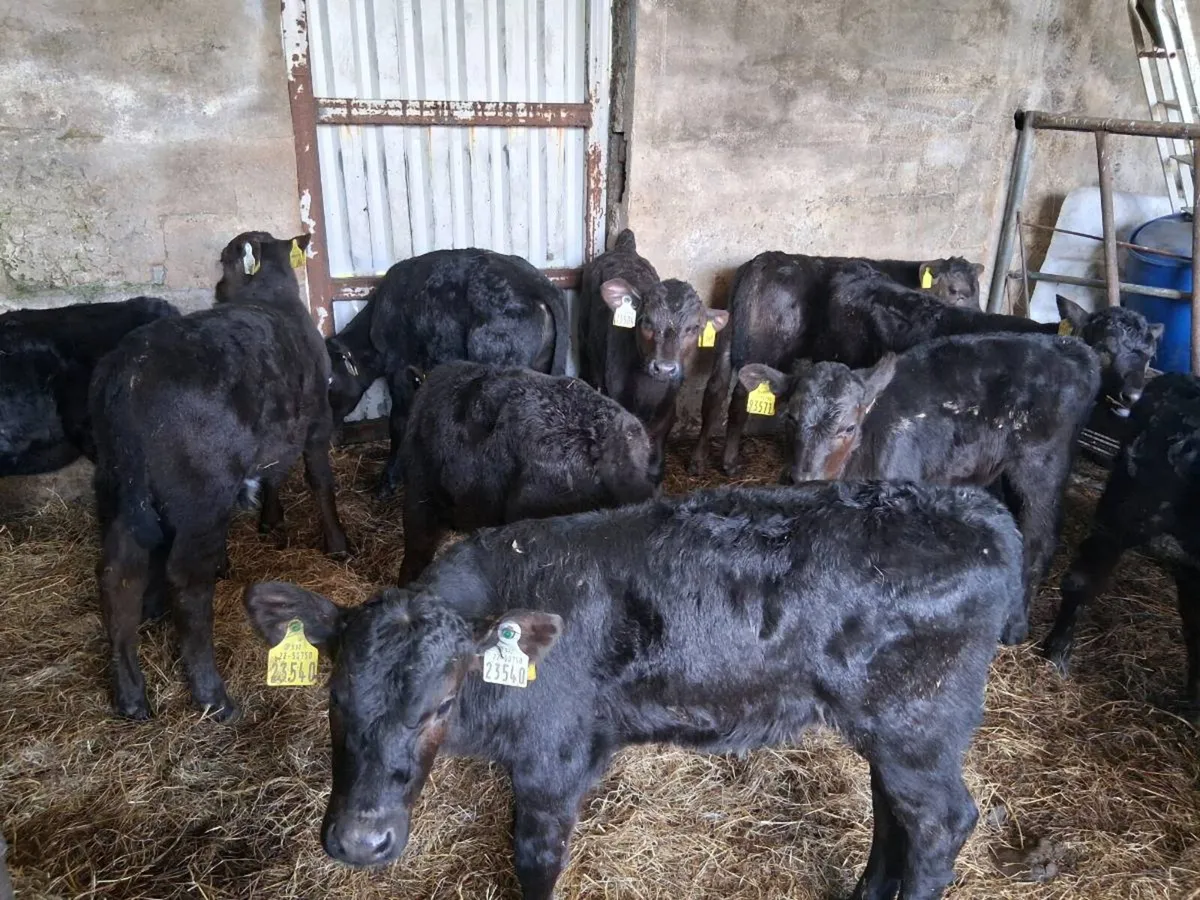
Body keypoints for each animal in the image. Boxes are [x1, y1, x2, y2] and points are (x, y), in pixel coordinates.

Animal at [89, 230, 347, 721]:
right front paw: (338, 543)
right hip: (199, 493)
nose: (217, 290)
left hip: (119, 488)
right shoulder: (317, 421)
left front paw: (272, 522)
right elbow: (319, 480)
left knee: (118, 575)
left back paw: (131, 693)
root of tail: (129, 374)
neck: (269, 293)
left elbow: (273, 473)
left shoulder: (276, 433)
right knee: (187, 582)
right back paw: (212, 696)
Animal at [245, 479, 1023, 900]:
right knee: (895, 814)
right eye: (334, 700)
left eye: (438, 703)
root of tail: (979, 513)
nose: (360, 841)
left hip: (920, 728)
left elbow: (534, 861)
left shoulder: (553, 765)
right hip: (891, 733)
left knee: (941, 823)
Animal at [579, 229, 728, 482]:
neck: (647, 390)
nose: (665, 368)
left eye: (693, 328)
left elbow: (656, 462)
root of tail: (624, 248)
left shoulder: (668, 409)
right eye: (646, 322)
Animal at [690, 252, 985, 476]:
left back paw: (699, 461)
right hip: (765, 346)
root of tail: (763, 260)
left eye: (978, 292)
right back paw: (729, 462)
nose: (979, 313)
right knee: (740, 398)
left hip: (727, 337)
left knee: (715, 391)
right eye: (955, 291)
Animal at [738, 332, 1100, 641]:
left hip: (1043, 467)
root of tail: (1073, 347)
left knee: (1040, 539)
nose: (801, 477)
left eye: (849, 427)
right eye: (790, 417)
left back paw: (1015, 628)